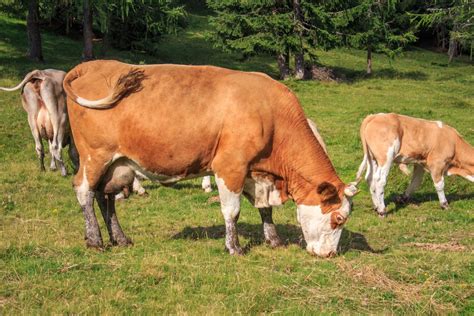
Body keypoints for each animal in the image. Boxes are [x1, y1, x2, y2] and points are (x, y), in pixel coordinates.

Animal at [64, 60, 360, 258]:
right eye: (338, 219)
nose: (331, 255)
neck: (273, 115)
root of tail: (92, 65)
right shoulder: (230, 167)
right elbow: (232, 211)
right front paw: (234, 246)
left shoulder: (254, 173)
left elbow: (265, 209)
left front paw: (273, 239)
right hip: (95, 156)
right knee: (84, 190)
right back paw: (95, 240)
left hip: (117, 164)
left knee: (105, 197)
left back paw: (120, 238)